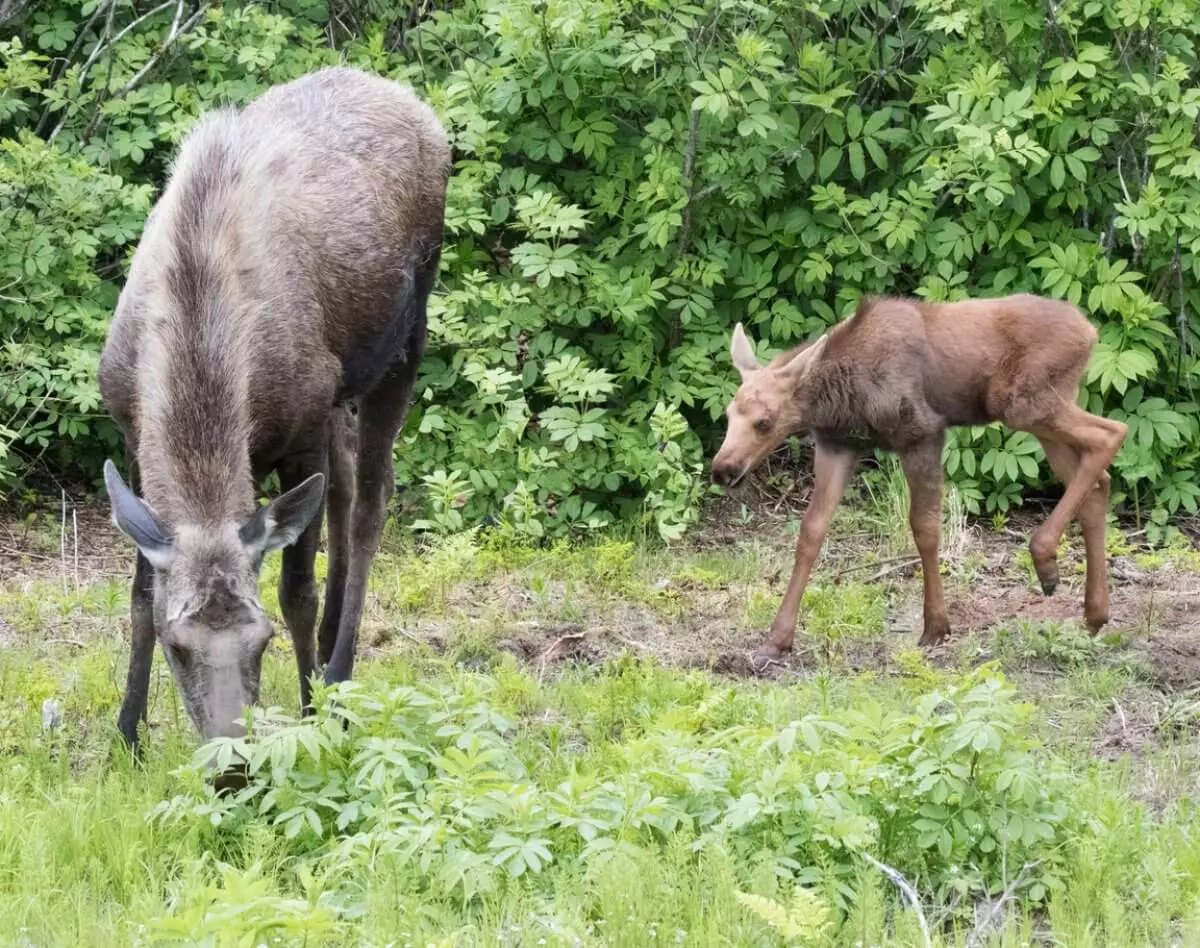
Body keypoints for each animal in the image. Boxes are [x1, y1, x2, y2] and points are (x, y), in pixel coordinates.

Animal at [97, 66, 451, 748]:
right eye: (179, 646)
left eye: (260, 642)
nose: (233, 756)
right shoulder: (130, 438)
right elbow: (139, 594)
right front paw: (128, 731)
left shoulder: (302, 432)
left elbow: (295, 591)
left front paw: (313, 716)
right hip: (340, 384)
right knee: (346, 481)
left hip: (406, 334)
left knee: (371, 497)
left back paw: (338, 669)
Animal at [715, 292, 1128, 672]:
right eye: (728, 414)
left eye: (764, 422)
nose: (723, 469)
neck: (838, 398)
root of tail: (1091, 331)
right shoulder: (838, 444)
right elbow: (811, 531)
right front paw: (775, 640)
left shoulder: (923, 433)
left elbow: (925, 527)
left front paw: (936, 627)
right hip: (1042, 413)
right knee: (1098, 483)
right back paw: (1093, 613)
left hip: (1022, 402)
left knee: (1111, 432)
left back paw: (1045, 558)